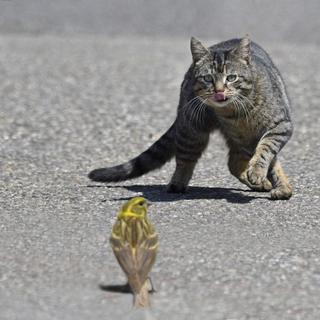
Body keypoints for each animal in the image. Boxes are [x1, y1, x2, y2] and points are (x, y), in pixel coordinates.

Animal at [89, 36, 294, 199]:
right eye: (208, 78)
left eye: (231, 78)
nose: (219, 90)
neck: (238, 112)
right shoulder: (245, 138)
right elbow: (262, 156)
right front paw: (259, 175)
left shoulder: (279, 126)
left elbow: (265, 152)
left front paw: (259, 173)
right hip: (192, 131)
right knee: (190, 161)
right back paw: (177, 184)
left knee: (239, 162)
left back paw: (278, 186)